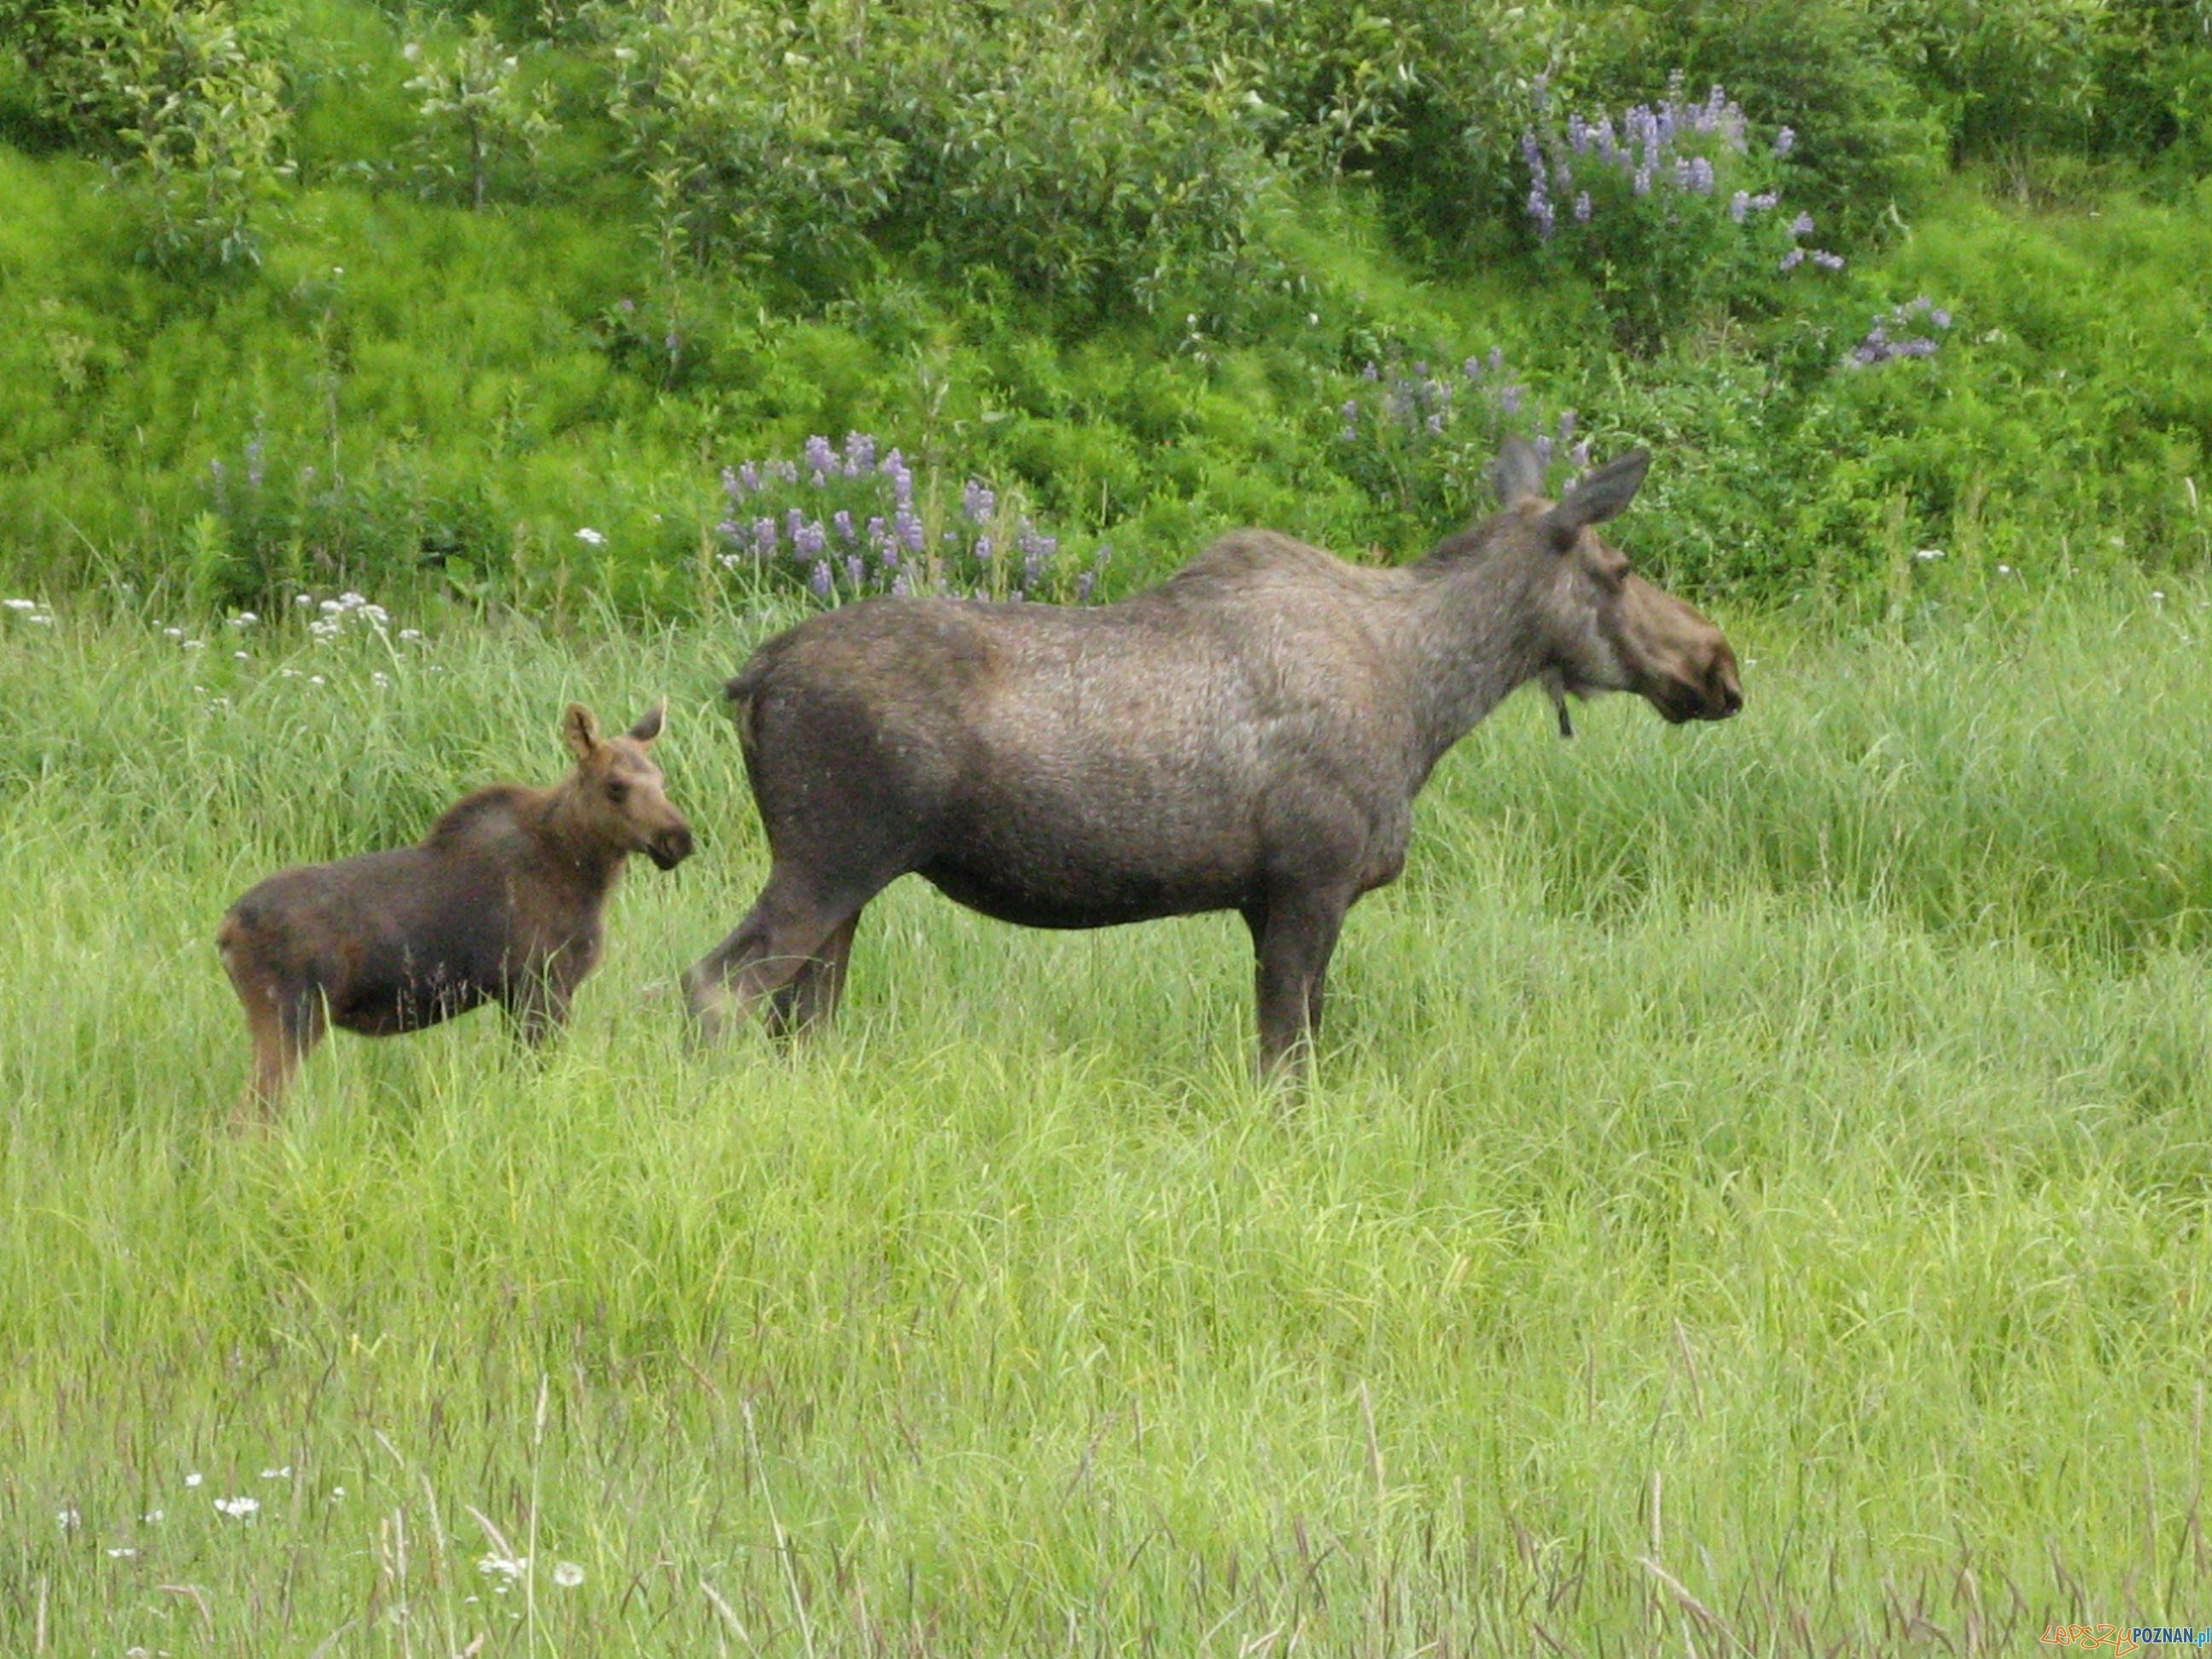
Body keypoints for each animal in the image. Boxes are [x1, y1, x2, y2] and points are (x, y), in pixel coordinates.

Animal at [221, 694, 690, 1123]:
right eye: (616, 785)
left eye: (662, 780)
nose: (679, 839)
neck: (583, 870)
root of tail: (225, 930)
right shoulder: (543, 982)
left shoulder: (517, 993)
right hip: (293, 1014)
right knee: (249, 1116)